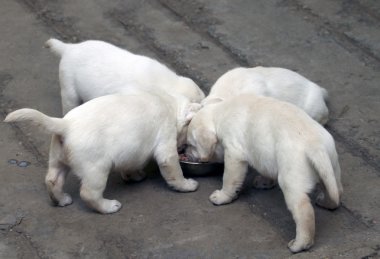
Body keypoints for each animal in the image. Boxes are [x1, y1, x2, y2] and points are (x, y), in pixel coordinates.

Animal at [4, 92, 200, 214]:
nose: (183, 150)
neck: (171, 105)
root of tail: (65, 125)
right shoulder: (166, 143)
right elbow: (173, 169)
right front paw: (187, 185)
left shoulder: (131, 151)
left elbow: (130, 165)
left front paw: (135, 175)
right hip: (96, 168)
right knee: (89, 193)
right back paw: (109, 206)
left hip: (58, 158)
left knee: (52, 180)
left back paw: (61, 200)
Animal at [186, 94, 342, 254]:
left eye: (190, 145)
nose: (185, 153)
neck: (220, 111)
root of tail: (315, 145)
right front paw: (265, 181)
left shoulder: (234, 153)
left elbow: (229, 178)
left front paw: (222, 196)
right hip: (331, 165)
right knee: (336, 189)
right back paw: (327, 203)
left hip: (292, 177)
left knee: (303, 211)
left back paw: (300, 243)